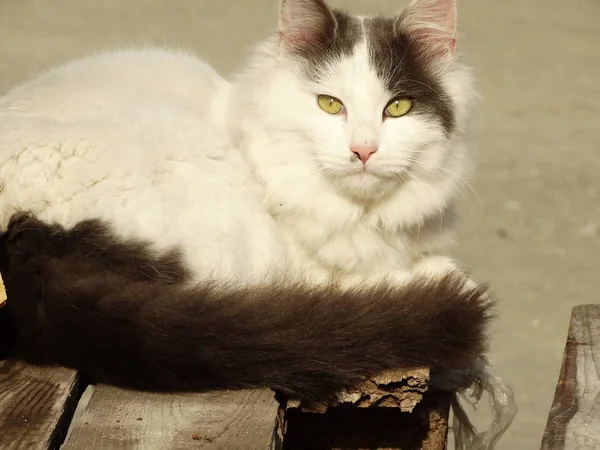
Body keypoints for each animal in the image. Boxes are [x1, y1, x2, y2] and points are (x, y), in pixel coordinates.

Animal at [0, 0, 490, 400]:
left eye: (399, 108)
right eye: (330, 105)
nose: (364, 150)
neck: (363, 215)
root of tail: (24, 245)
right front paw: (440, 275)